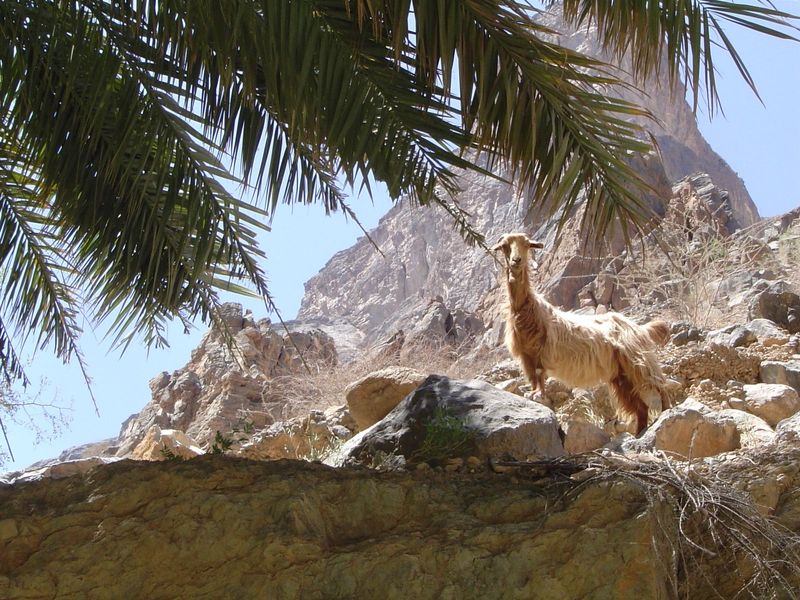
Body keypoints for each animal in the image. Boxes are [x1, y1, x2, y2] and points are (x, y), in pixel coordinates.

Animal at [493, 232, 671, 435]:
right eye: (505, 245)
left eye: (526, 244)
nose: (516, 260)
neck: (528, 308)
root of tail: (638, 328)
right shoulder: (526, 356)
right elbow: (533, 379)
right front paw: (534, 395)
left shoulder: (540, 352)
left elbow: (539, 376)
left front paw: (538, 395)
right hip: (621, 375)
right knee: (641, 407)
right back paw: (640, 433)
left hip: (638, 361)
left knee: (661, 386)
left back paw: (666, 413)